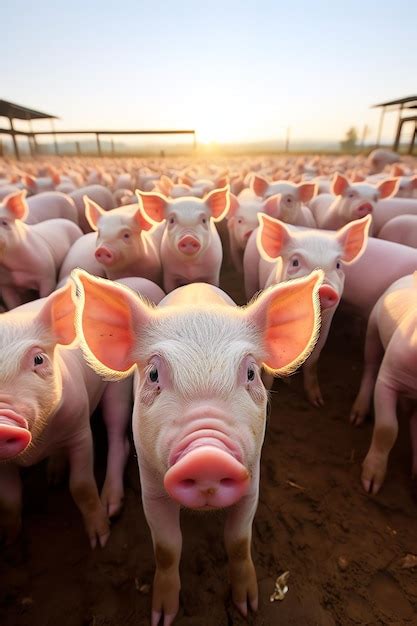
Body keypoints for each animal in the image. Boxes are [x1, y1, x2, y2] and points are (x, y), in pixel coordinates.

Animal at [73, 266, 324, 620]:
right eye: (153, 374)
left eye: (250, 373)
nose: (208, 456)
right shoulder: (151, 485)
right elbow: (167, 548)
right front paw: (162, 615)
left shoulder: (252, 476)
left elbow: (238, 541)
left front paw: (248, 606)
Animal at [352, 270, 416, 494]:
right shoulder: (388, 376)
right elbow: (387, 428)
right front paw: (370, 486)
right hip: (373, 326)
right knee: (370, 367)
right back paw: (357, 416)